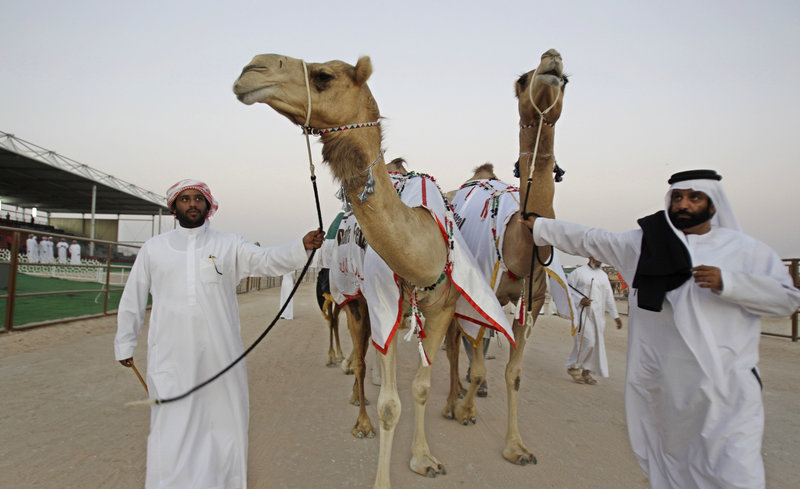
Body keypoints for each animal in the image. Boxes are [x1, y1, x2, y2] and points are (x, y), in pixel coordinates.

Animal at [233, 54, 512, 488]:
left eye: (323, 75)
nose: (252, 68)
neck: (425, 248)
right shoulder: (381, 308)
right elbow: (389, 405)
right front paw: (383, 469)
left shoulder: (441, 310)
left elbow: (420, 388)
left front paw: (423, 459)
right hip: (355, 302)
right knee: (362, 359)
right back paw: (359, 416)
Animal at [444, 48, 568, 466]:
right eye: (522, 79)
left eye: (567, 80)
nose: (553, 59)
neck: (522, 246)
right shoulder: (483, 294)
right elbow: (480, 362)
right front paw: (465, 410)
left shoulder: (532, 304)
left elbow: (513, 374)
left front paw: (516, 447)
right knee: (454, 341)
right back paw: (452, 400)